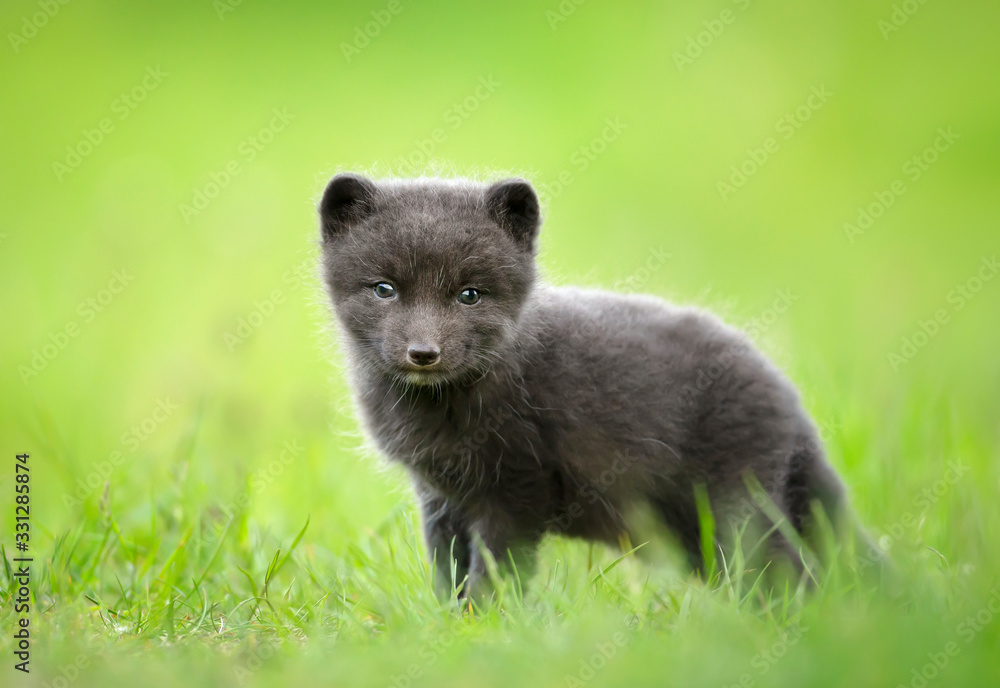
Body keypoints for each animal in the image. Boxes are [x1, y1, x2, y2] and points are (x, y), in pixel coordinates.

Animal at [318, 172, 870, 597]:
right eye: (384, 289)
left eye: (469, 294)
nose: (424, 353)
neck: (439, 415)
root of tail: (791, 401)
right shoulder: (439, 496)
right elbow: (447, 571)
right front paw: (449, 624)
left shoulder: (519, 489)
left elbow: (494, 573)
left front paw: (486, 626)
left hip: (737, 506)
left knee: (792, 575)